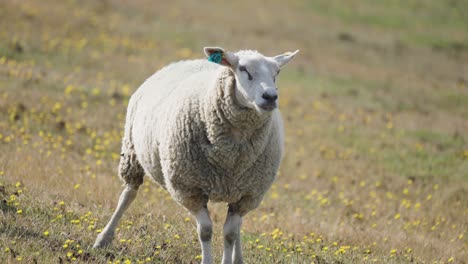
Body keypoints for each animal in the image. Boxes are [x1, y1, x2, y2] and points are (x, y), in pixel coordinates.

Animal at [94, 46, 300, 262]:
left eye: (277, 73)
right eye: (243, 69)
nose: (270, 97)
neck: (229, 156)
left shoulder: (247, 194)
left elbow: (230, 233)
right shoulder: (189, 189)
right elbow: (206, 231)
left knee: (238, 226)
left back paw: (238, 258)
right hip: (131, 151)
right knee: (128, 194)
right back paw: (103, 239)